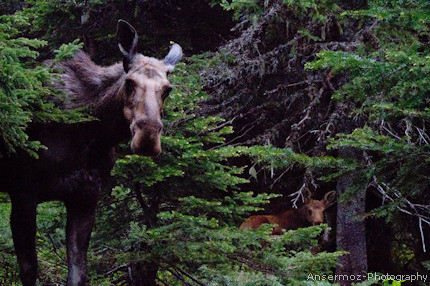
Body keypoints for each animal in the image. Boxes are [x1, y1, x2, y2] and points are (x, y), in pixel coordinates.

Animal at [0, 20, 181, 286]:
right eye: (130, 83)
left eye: (167, 89)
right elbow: (29, 270)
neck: (91, 134)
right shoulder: (23, 193)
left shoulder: (85, 198)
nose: (147, 139)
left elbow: (78, 272)